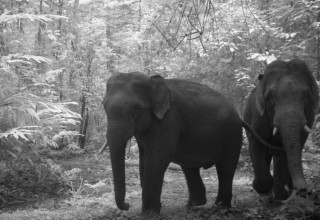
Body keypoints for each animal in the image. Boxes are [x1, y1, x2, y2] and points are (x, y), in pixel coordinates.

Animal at [104, 72, 278, 215]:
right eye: (104, 108)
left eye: (136, 111)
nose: (127, 205)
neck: (152, 81)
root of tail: (238, 116)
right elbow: (144, 160)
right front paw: (153, 210)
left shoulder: (168, 121)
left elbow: (156, 159)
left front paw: (149, 214)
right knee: (189, 167)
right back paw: (194, 205)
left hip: (232, 134)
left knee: (225, 168)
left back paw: (220, 208)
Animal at [244, 59, 318, 200]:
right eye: (271, 96)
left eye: (306, 95)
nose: (304, 190)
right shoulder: (257, 117)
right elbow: (256, 145)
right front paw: (262, 189)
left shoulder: (310, 117)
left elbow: (291, 148)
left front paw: (282, 194)